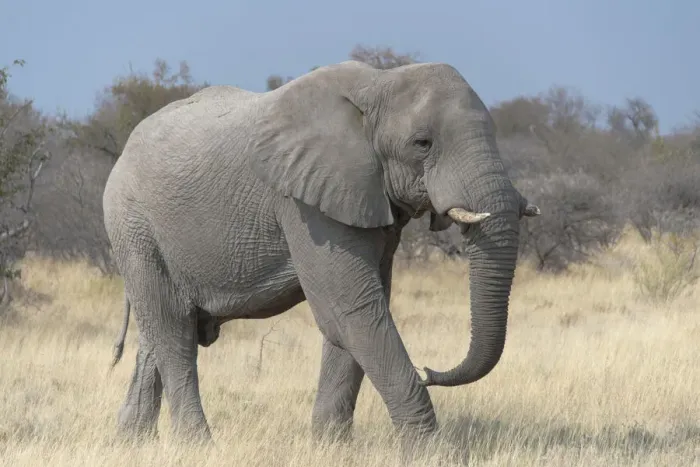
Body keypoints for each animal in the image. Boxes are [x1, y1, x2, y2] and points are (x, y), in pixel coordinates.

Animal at [104, 60, 540, 445]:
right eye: (422, 144)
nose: (429, 370)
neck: (379, 84)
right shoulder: (303, 202)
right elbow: (350, 309)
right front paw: (429, 453)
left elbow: (357, 312)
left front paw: (332, 447)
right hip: (133, 227)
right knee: (173, 330)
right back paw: (198, 447)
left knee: (159, 333)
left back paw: (132, 443)